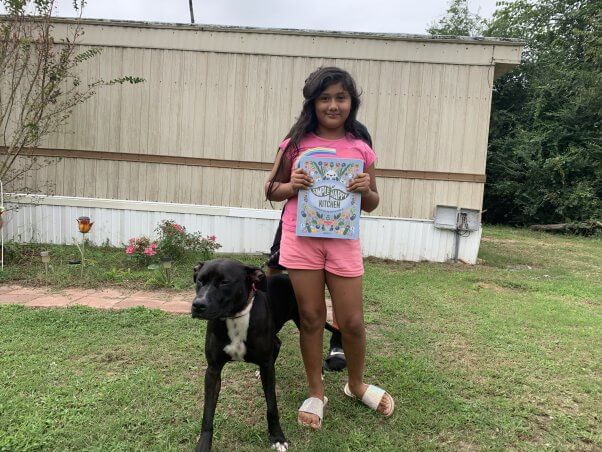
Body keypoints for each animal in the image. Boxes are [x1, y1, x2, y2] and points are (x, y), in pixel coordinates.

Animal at [190, 260, 302, 450]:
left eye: (224, 282)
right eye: (200, 280)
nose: (198, 305)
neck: (234, 317)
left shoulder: (266, 367)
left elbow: (272, 406)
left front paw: (277, 437)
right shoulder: (213, 370)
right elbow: (208, 412)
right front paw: (203, 445)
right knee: (277, 342)